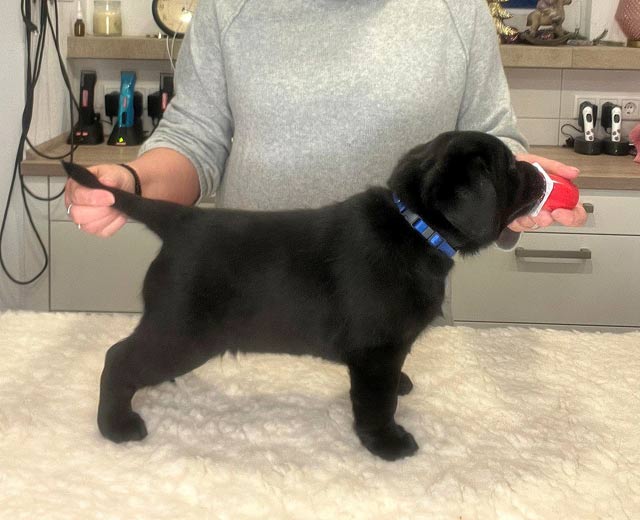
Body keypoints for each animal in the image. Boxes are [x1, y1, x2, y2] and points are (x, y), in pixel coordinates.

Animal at [63, 130, 545, 461]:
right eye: (510, 169)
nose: (539, 171)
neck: (416, 226)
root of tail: (180, 221)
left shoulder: (386, 352)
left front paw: (401, 386)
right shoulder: (375, 352)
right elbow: (376, 402)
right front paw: (386, 443)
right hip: (184, 333)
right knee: (118, 358)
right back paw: (116, 425)